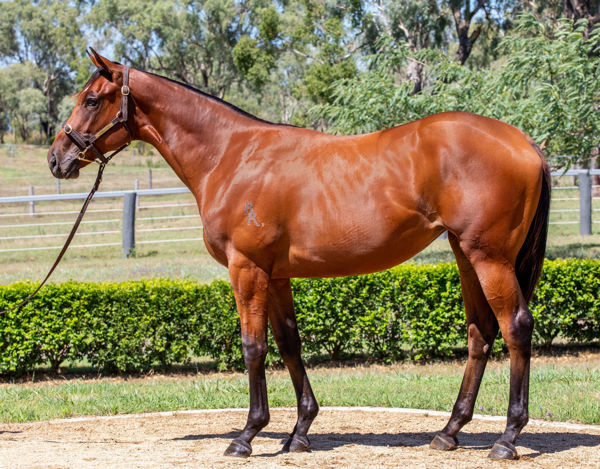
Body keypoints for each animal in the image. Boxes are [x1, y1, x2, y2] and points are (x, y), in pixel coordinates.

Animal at [49, 50, 552, 458]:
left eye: (92, 99)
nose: (57, 158)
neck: (231, 155)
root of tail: (525, 142)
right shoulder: (275, 275)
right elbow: (290, 344)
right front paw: (300, 431)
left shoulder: (247, 269)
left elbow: (253, 347)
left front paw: (247, 435)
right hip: (466, 256)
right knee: (480, 333)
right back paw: (449, 431)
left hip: (489, 258)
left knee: (515, 327)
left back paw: (508, 438)